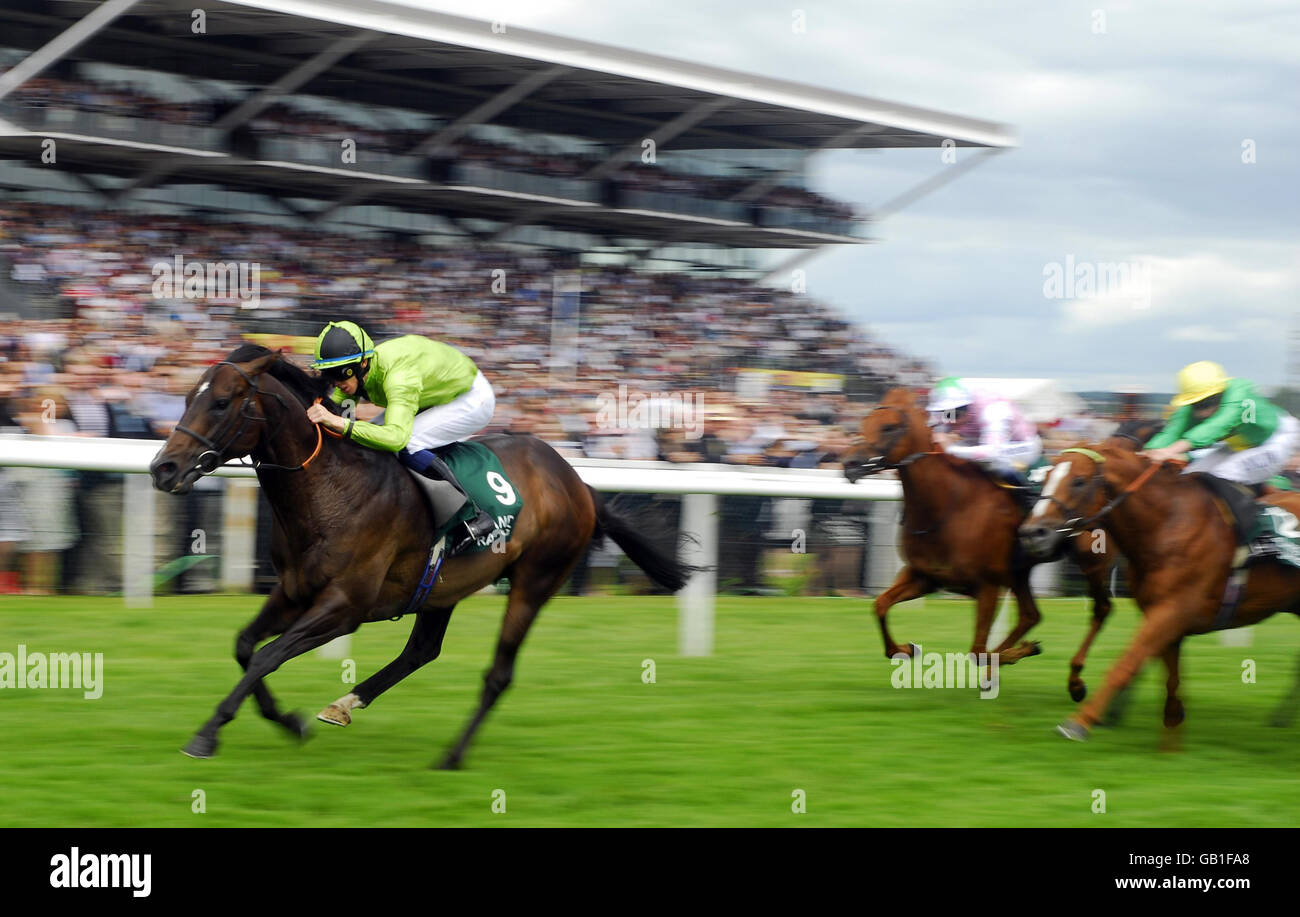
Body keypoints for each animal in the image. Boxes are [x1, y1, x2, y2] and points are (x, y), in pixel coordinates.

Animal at [148, 345, 696, 770]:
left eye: (221, 403)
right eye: (186, 398)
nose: (163, 468)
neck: (330, 488)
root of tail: (578, 483)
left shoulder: (344, 606)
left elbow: (267, 655)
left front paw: (207, 734)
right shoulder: (293, 590)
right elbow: (246, 647)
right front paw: (289, 722)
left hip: (535, 581)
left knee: (498, 674)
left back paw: (452, 756)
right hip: (443, 586)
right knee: (421, 651)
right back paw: (345, 703)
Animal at [837, 385, 1154, 691]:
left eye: (889, 427)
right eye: (864, 422)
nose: (850, 463)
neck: (949, 506)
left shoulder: (987, 584)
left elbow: (977, 651)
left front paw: (1021, 652)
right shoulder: (924, 576)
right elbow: (879, 606)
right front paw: (904, 648)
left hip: (1092, 562)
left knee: (1100, 609)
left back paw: (1073, 679)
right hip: (1019, 572)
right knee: (1030, 615)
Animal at [1019, 442, 1300, 738]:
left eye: (1079, 481)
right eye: (1047, 476)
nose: (1032, 533)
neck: (1166, 525)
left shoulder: (1171, 610)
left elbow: (1127, 662)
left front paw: (1079, 721)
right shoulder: (1161, 612)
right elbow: (1169, 672)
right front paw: (1172, 716)